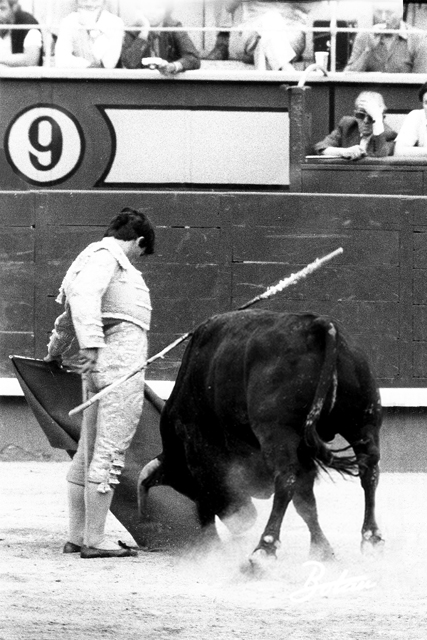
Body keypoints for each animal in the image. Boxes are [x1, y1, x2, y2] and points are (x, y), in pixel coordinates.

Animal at [140, 310, 384, 564]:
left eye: (186, 484)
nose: (244, 521)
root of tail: (319, 324)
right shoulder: (304, 451)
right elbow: (306, 502)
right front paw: (322, 550)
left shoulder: (198, 450)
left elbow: (207, 500)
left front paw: (212, 547)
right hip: (364, 422)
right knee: (369, 472)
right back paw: (372, 540)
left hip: (278, 433)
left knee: (286, 479)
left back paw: (263, 550)